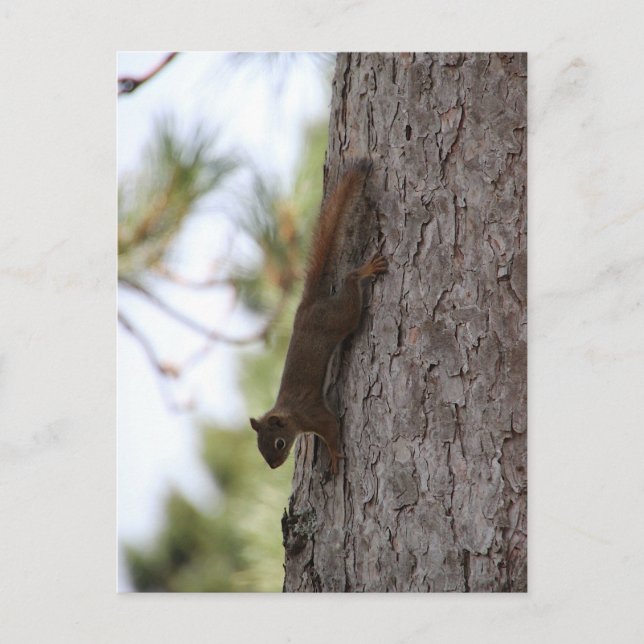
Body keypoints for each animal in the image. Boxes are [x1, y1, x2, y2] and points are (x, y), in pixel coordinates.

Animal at [250, 160, 387, 475]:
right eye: (260, 448)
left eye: (278, 443)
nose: (273, 467)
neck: (291, 414)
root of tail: (307, 306)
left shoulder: (314, 414)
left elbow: (332, 428)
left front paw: (334, 455)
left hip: (342, 316)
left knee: (350, 282)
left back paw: (364, 271)